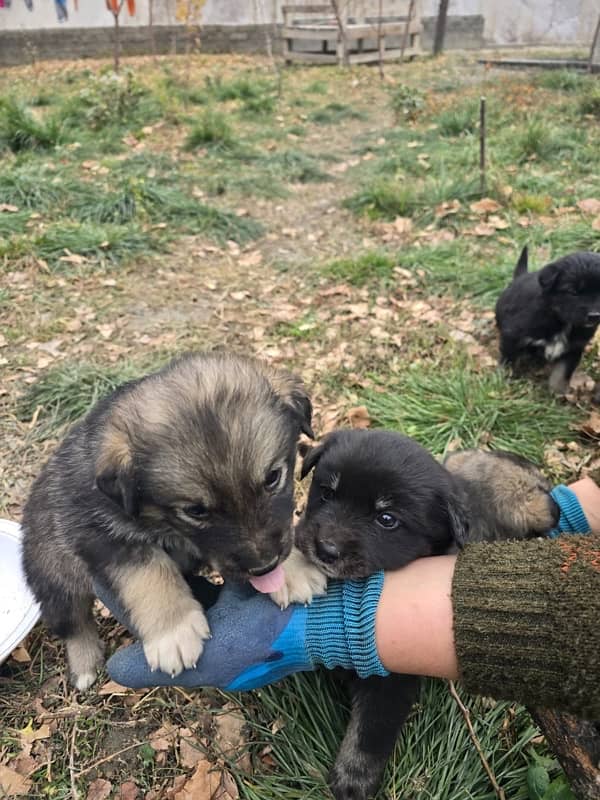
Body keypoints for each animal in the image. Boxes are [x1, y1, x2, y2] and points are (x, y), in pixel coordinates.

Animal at [20, 354, 316, 692]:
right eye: (195, 511)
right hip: (54, 576)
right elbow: (148, 574)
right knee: (74, 624)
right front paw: (174, 629)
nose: (265, 566)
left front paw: (293, 570)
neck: (164, 523)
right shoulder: (102, 534)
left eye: (273, 477)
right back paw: (84, 665)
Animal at [282, 432, 556, 800]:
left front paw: (354, 780)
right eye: (326, 493)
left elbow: (371, 732)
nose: (326, 549)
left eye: (386, 520)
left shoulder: (393, 678)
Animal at [494, 245, 600, 392]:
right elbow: (508, 357)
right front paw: (503, 378)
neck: (561, 320)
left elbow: (562, 371)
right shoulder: (512, 333)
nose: (595, 315)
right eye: (573, 292)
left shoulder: (574, 347)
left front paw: (558, 391)